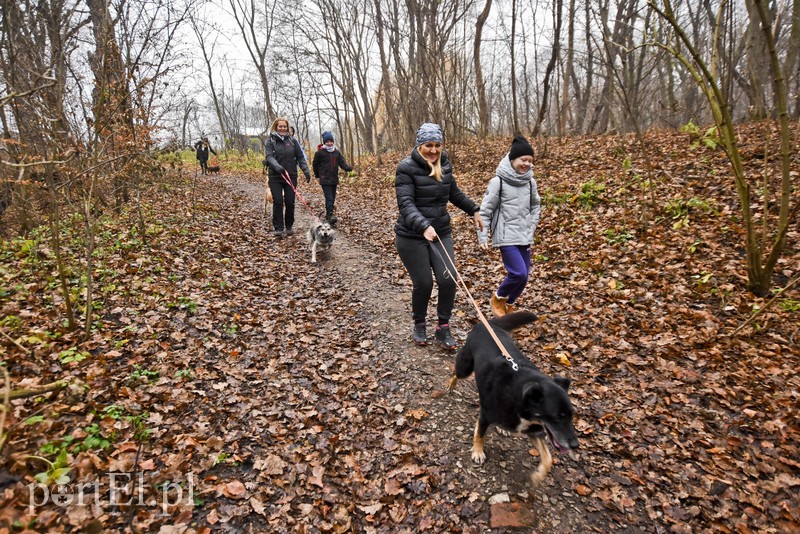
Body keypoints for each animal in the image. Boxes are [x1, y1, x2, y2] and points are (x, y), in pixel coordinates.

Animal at [446, 312, 580, 488]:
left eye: (572, 415)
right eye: (557, 417)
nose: (575, 445)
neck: (519, 399)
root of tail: (488, 324)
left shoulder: (534, 431)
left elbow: (548, 459)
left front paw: (538, 476)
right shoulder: (485, 416)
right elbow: (479, 434)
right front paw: (478, 451)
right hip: (465, 368)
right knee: (456, 372)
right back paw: (451, 385)